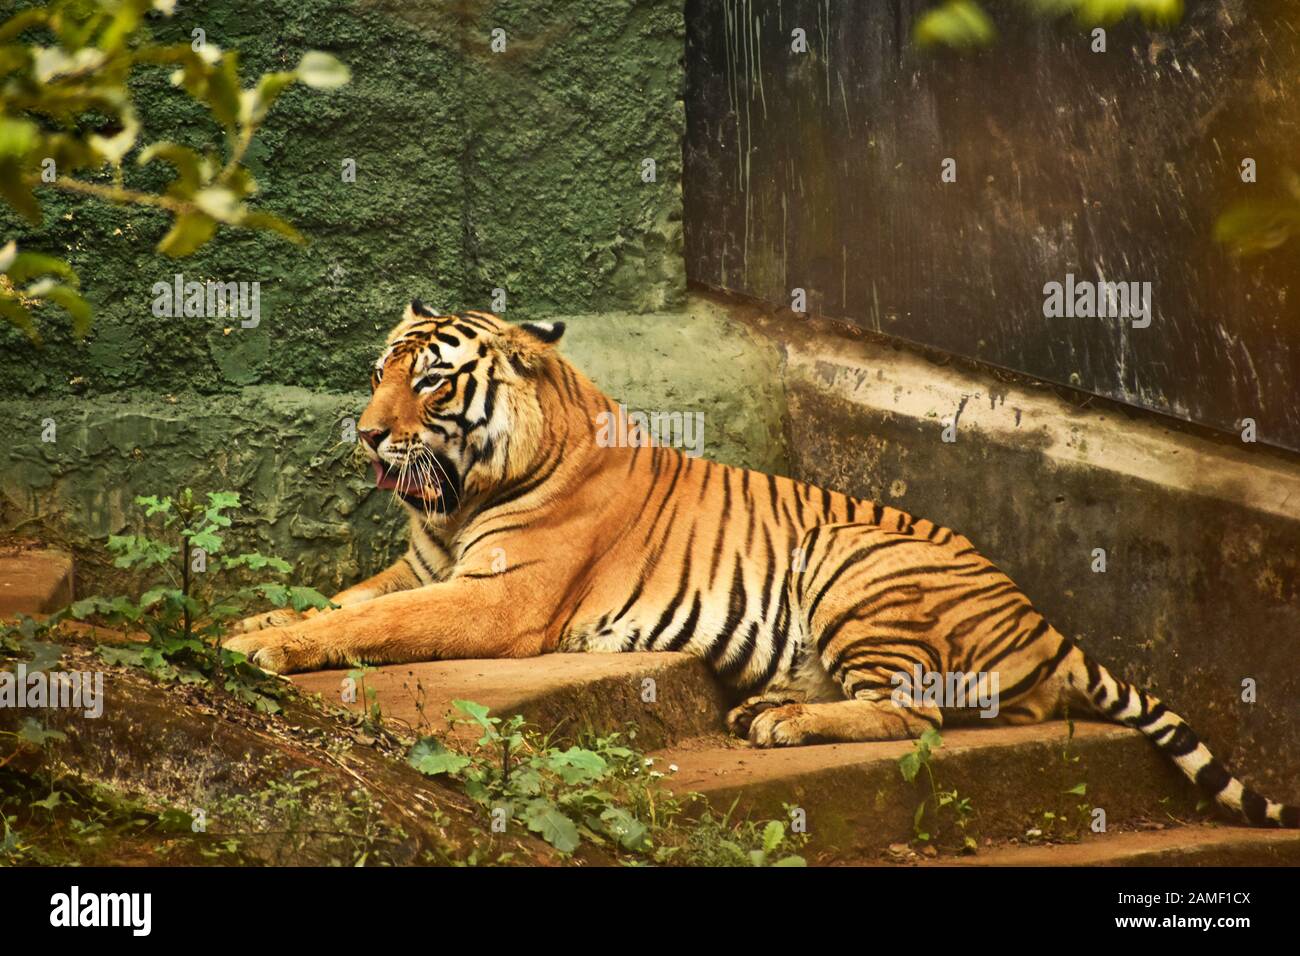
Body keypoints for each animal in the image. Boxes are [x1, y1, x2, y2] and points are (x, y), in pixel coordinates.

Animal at [226, 300, 1300, 832]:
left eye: (432, 382)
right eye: (379, 371)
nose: (366, 435)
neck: (459, 500)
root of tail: (1052, 626)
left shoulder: (498, 601)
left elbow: (366, 623)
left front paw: (258, 652)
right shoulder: (422, 568)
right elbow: (341, 598)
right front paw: (253, 623)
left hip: (855, 564)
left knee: (911, 717)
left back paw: (780, 722)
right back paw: (768, 709)